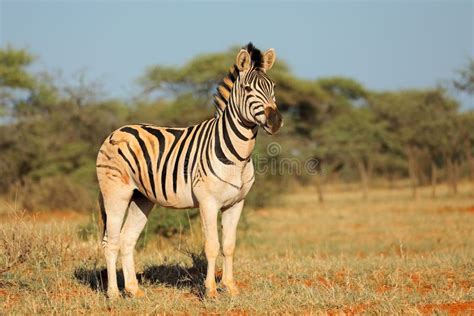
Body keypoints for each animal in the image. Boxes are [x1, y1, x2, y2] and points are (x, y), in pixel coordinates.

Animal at [96, 42, 282, 298]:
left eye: (272, 87)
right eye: (247, 88)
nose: (275, 121)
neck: (239, 157)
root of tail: (119, 130)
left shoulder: (236, 203)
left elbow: (229, 246)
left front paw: (231, 287)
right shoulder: (208, 202)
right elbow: (212, 246)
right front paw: (211, 291)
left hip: (141, 198)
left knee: (127, 239)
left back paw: (134, 291)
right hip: (115, 193)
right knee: (111, 242)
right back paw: (114, 294)